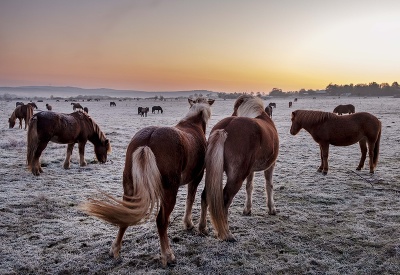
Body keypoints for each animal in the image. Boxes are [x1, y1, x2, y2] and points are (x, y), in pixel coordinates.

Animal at [79, 97, 214, 268]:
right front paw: (188, 224)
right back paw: (168, 255)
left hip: (129, 187)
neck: (193, 124)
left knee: (125, 215)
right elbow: (190, 199)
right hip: (170, 191)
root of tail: (148, 139)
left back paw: (115, 249)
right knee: (162, 221)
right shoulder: (197, 177)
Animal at [198, 96, 280, 243]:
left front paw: (247, 210)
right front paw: (272, 209)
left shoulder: (250, 170)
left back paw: (203, 229)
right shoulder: (271, 165)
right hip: (236, 176)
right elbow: (269, 185)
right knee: (225, 200)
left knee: (205, 196)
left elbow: (249, 187)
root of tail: (224, 129)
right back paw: (226, 234)